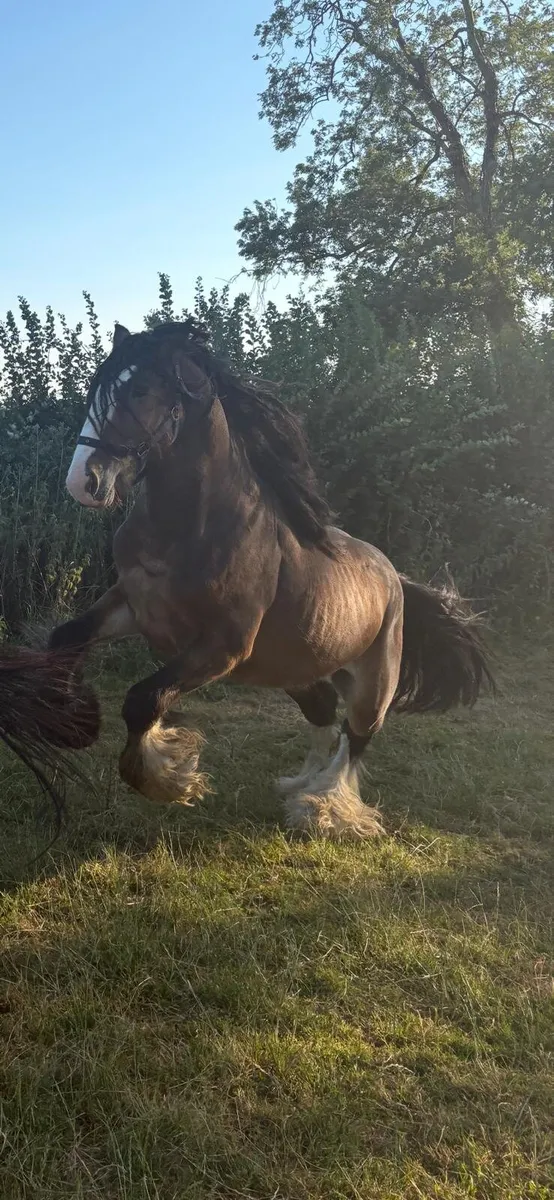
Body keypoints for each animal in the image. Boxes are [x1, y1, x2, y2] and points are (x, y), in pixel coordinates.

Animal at [47, 319, 494, 839]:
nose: (83, 482)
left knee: (355, 737)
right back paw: (299, 784)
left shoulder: (223, 645)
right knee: (323, 714)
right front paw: (71, 722)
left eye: (139, 391)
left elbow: (144, 700)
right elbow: (65, 638)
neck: (192, 529)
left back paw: (323, 807)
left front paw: (171, 778)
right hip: (297, 667)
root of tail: (394, 576)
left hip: (373, 681)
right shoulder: (134, 607)